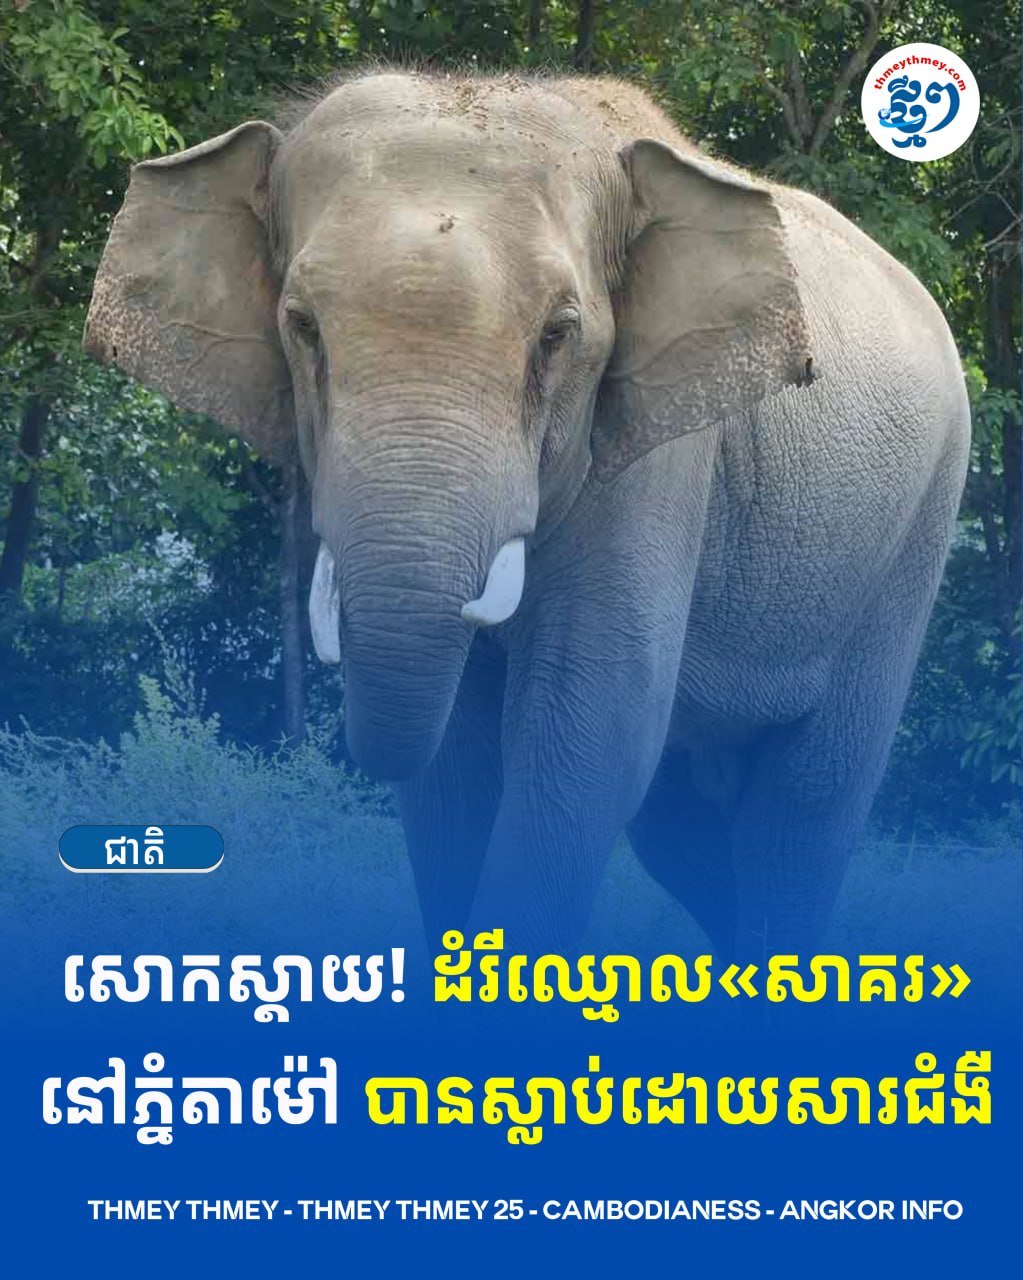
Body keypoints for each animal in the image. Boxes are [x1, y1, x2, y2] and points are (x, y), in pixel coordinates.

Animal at [84, 70, 970, 957]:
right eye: (301, 328)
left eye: (556, 335)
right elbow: (452, 771)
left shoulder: (661, 457)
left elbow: (588, 729)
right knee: (687, 837)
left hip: (915, 529)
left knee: (802, 812)